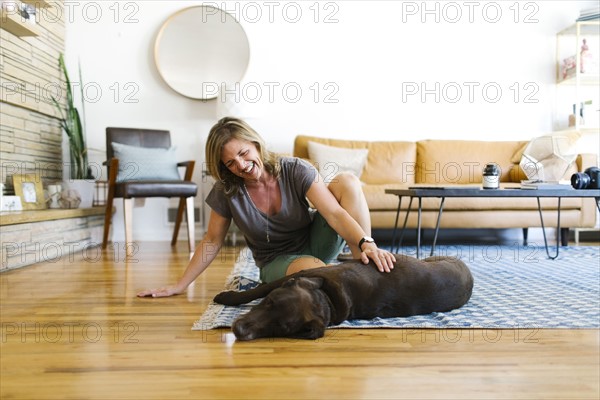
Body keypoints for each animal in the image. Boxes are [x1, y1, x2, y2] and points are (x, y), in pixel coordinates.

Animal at [214, 256, 474, 340]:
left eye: (282, 328)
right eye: (269, 303)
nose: (240, 330)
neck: (326, 299)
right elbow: (256, 291)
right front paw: (228, 296)